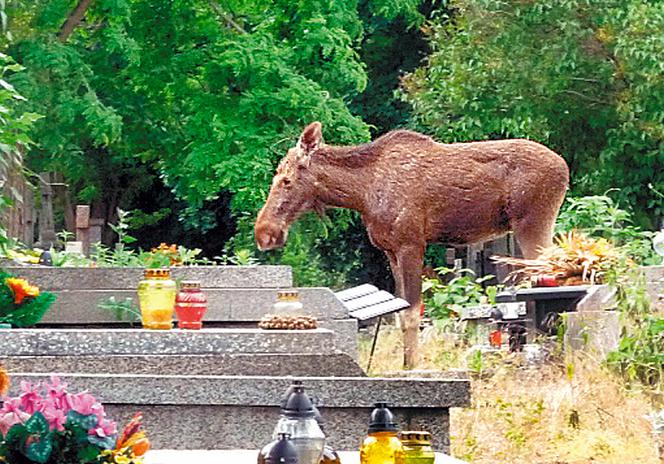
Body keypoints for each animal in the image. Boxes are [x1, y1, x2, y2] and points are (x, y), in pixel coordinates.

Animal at [256, 121, 568, 368]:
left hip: (532, 222)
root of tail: (565, 169)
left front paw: (412, 366)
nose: (264, 233)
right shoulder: (391, 252)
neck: (361, 194)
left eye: (286, 180)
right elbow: (400, 313)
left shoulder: (411, 244)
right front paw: (406, 363)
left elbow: (411, 314)